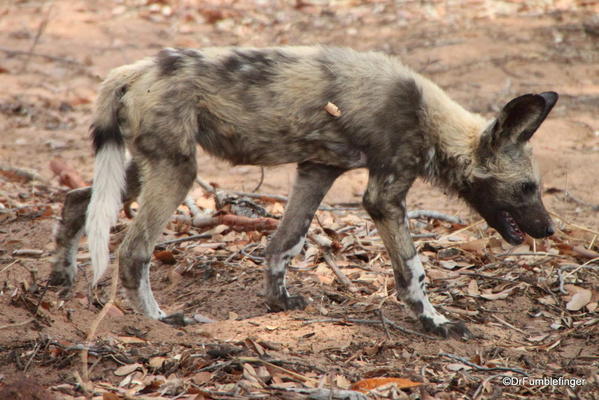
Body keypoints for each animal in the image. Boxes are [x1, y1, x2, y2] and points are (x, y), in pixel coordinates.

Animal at [50, 47, 556, 340]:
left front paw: (279, 302)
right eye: (527, 188)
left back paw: (61, 279)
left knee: (77, 202)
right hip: (178, 172)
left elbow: (284, 243)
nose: (549, 229)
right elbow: (413, 271)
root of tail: (135, 70)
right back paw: (159, 321)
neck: (428, 118)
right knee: (134, 251)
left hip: (147, 167)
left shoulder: (318, 171)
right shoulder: (385, 198)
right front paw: (436, 322)